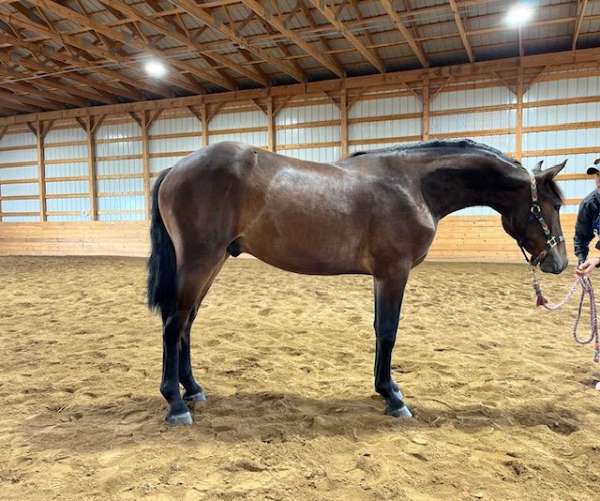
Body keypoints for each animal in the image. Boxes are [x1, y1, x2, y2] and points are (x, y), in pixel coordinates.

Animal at [146, 139, 568, 424]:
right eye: (554, 204)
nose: (560, 262)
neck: (414, 186)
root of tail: (175, 168)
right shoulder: (394, 272)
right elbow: (388, 330)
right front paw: (393, 398)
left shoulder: (384, 276)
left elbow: (381, 329)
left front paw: (388, 390)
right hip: (201, 260)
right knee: (173, 324)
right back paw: (176, 403)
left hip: (212, 263)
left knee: (186, 323)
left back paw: (193, 389)